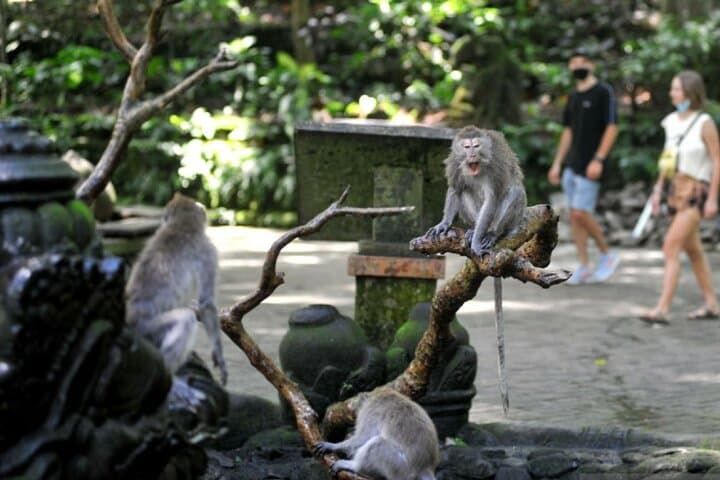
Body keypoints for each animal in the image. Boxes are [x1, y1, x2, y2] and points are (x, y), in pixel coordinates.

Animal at [125, 193, 228, 403]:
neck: (182, 225)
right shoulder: (209, 251)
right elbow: (206, 303)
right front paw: (219, 354)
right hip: (148, 331)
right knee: (185, 319)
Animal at [425, 125, 528, 415]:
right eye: (466, 146)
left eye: (476, 146)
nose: (471, 154)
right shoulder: (456, 165)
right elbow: (455, 189)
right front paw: (444, 223)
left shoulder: (495, 168)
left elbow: (494, 197)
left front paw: (479, 238)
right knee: (466, 192)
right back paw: (471, 230)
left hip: (513, 218)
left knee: (513, 192)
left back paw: (490, 234)